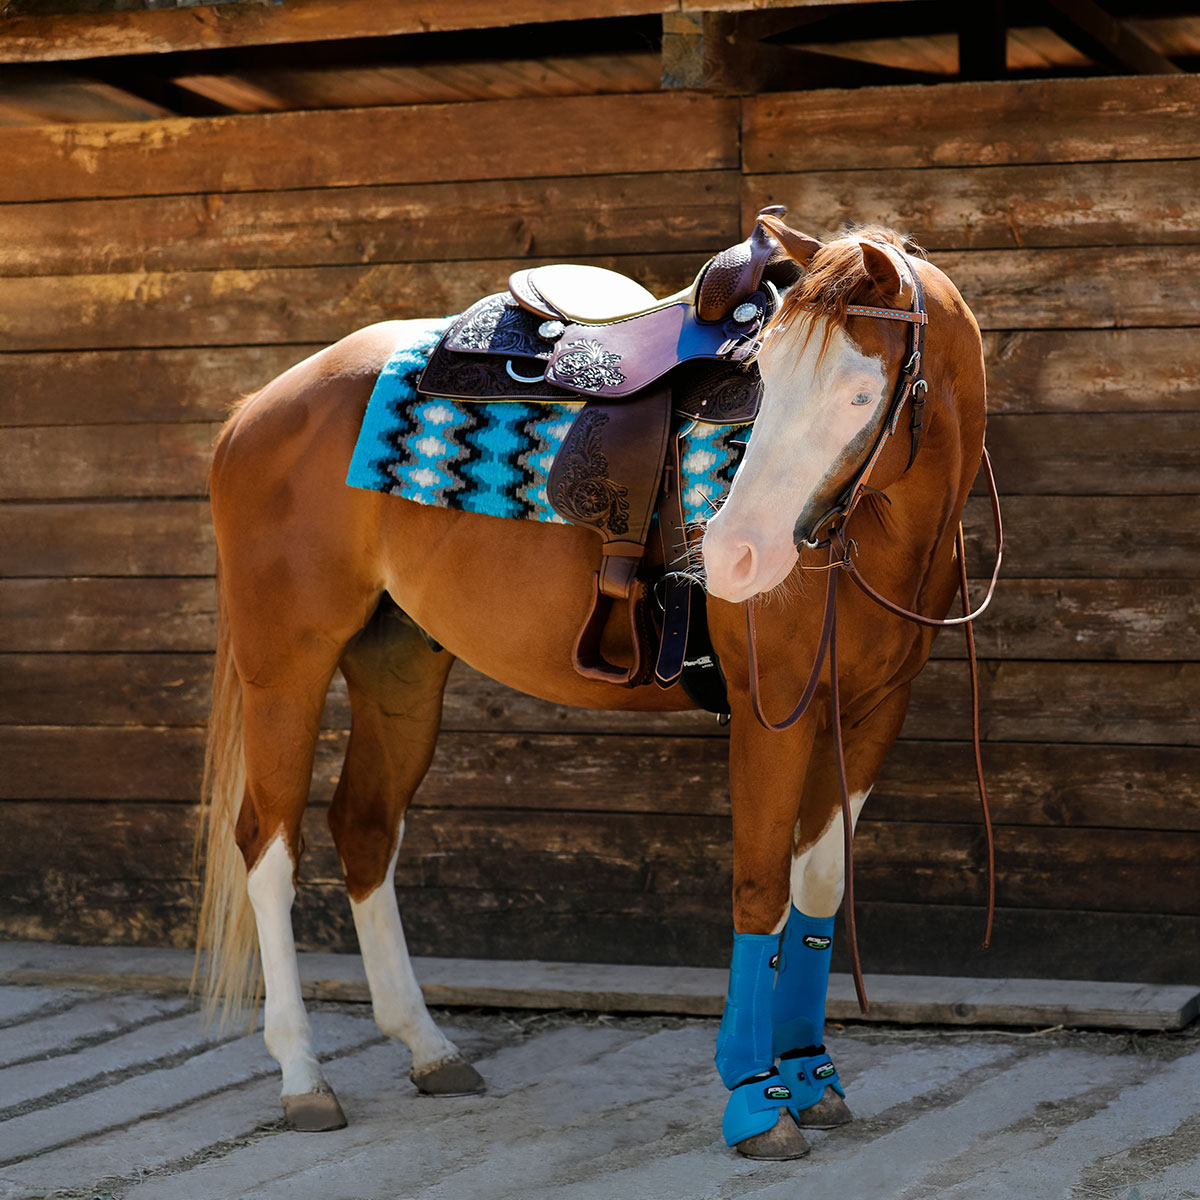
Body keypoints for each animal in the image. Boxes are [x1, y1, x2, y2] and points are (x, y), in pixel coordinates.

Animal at [196, 215, 990, 1161]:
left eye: (860, 396)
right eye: (764, 383)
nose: (733, 558)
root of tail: (258, 408)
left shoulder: (868, 718)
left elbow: (819, 893)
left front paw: (810, 1074)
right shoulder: (774, 716)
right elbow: (760, 889)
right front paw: (757, 1098)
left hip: (401, 666)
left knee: (365, 827)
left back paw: (428, 1049)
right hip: (287, 664)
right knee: (268, 849)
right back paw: (302, 1077)